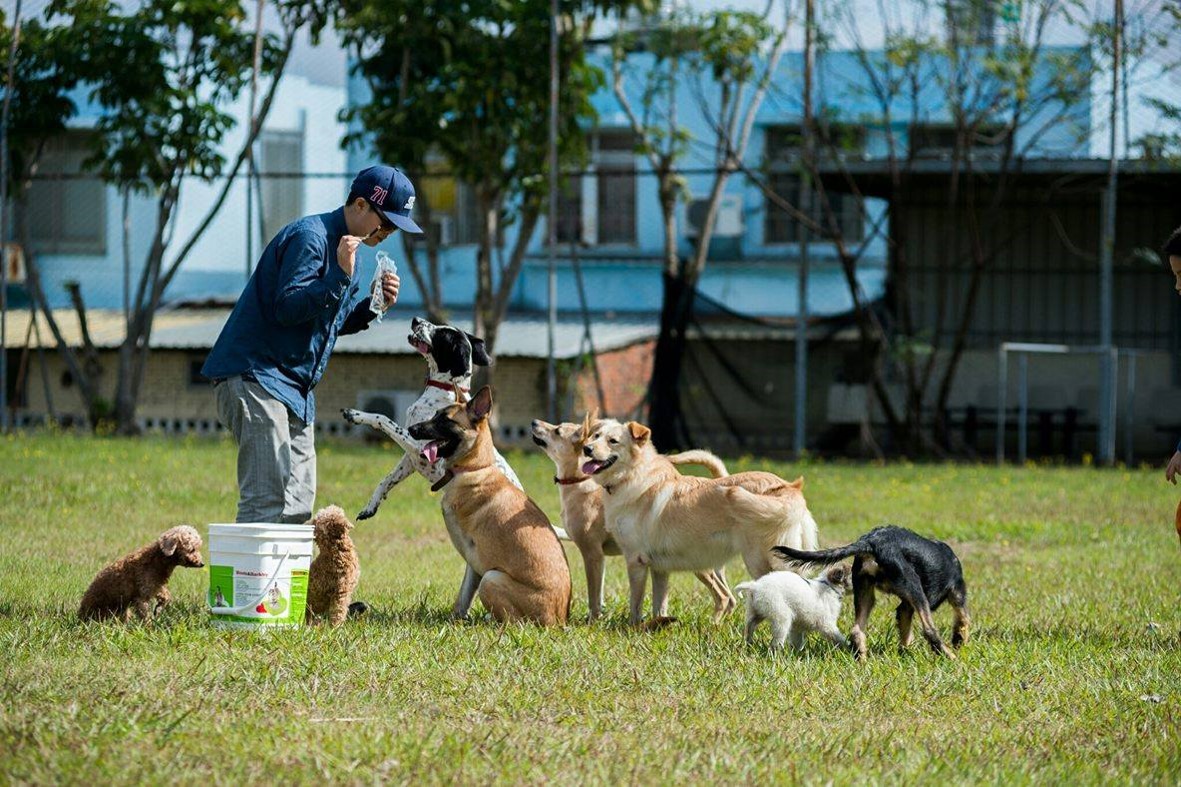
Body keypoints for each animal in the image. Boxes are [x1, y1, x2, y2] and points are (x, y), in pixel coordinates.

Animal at [344, 316, 524, 517]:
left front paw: (356, 415)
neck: (444, 387)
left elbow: (382, 418)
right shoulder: (411, 459)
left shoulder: (419, 447)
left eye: (442, 332)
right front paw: (371, 505)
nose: (416, 319)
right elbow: (387, 479)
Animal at [408, 382, 569, 623]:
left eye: (445, 420)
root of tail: (555, 620)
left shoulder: (475, 558)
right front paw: (456, 619)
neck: (475, 468)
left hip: (491, 578)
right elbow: (462, 598)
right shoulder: (473, 564)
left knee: (513, 622)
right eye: (435, 414)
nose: (412, 429)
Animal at [533, 413, 736, 623]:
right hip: (713, 564)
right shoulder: (599, 556)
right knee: (731, 599)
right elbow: (599, 592)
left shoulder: (592, 553)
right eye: (595, 436)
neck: (580, 481)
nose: (534, 422)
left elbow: (594, 595)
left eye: (557, 430)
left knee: (723, 595)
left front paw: (593, 620)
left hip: (697, 564)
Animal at [581, 415, 821, 623]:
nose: (587, 449)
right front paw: (657, 626)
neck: (633, 475)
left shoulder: (635, 560)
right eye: (595, 435)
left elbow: (635, 604)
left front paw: (634, 627)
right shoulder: (659, 568)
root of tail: (790, 488)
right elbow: (660, 605)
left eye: (613, 441)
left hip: (759, 562)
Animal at [774, 524, 968, 657]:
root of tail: (870, 541)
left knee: (856, 631)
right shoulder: (957, 590)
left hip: (864, 590)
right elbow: (963, 618)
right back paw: (950, 656)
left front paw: (905, 651)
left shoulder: (905, 606)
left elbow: (905, 630)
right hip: (914, 587)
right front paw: (960, 640)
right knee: (930, 630)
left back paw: (862, 660)